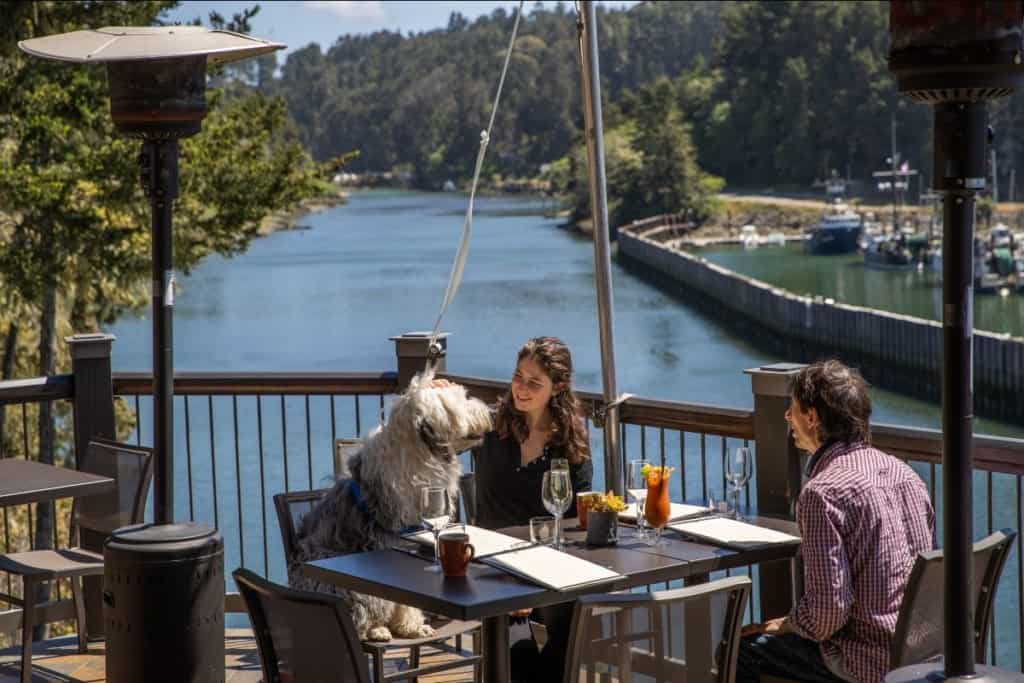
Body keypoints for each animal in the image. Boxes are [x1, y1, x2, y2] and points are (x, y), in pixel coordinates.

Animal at [286, 368, 493, 643]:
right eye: (462, 400)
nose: (490, 412)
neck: (418, 454)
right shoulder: (394, 540)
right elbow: (403, 599)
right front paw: (412, 626)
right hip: (346, 585)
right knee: (363, 613)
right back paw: (377, 630)